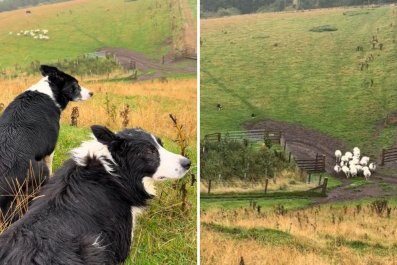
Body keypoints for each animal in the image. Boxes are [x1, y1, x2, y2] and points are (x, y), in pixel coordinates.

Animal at [0, 65, 93, 220]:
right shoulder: (49, 150)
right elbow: (51, 168)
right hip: (38, 172)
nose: (91, 93)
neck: (49, 92)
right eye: (75, 84)